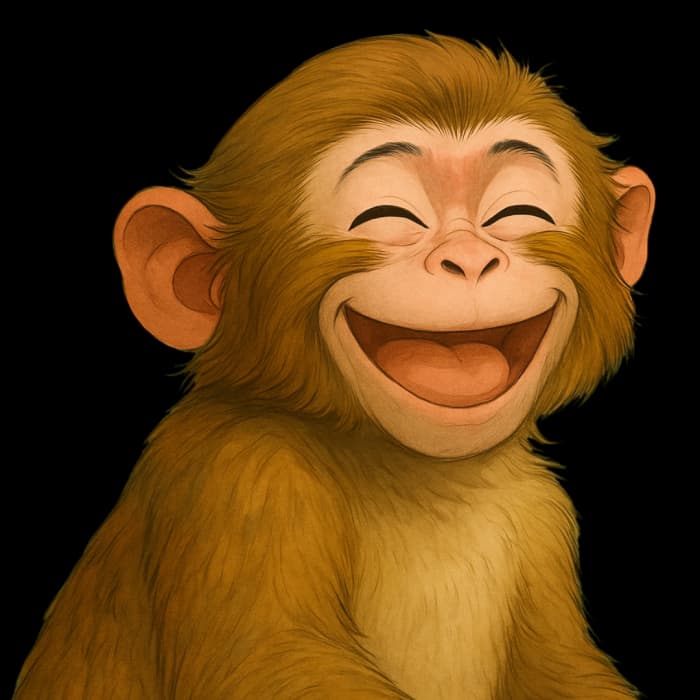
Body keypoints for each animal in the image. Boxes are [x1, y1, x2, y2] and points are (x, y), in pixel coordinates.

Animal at [14, 33, 654, 699]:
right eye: (387, 216)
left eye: (517, 214)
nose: (469, 259)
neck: (421, 477)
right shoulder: (239, 477)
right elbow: (272, 663)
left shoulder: (545, 519)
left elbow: (564, 667)